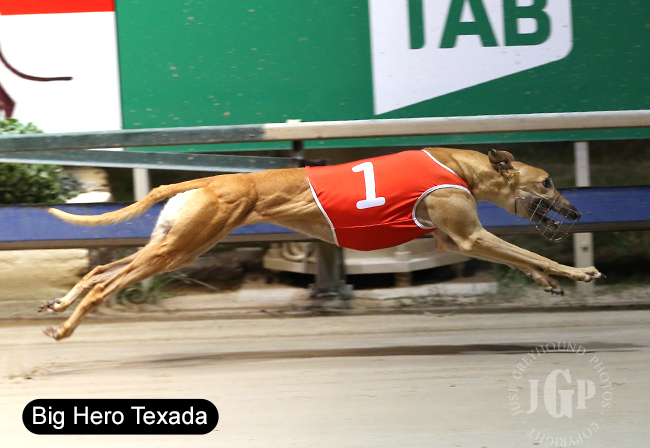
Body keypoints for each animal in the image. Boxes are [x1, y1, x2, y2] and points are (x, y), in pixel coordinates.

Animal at [39, 148, 602, 340]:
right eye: (548, 182)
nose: (578, 213)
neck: (462, 166)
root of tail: (205, 180)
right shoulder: (470, 232)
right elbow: (528, 249)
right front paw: (578, 273)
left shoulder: (454, 240)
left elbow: (522, 258)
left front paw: (549, 282)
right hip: (182, 247)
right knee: (103, 284)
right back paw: (66, 326)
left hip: (175, 242)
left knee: (100, 271)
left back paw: (59, 304)